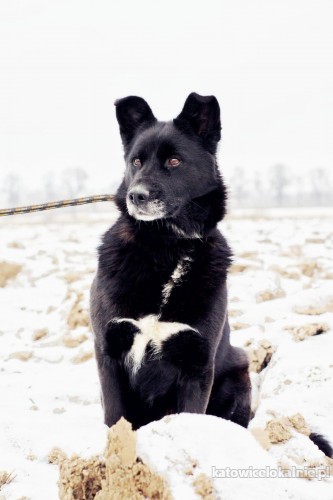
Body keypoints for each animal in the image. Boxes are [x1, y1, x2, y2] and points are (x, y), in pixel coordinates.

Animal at [89, 93, 250, 430]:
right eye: (136, 162)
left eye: (174, 161)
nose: (136, 196)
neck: (167, 247)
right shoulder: (108, 353)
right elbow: (115, 419)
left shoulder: (197, 364)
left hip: (240, 372)